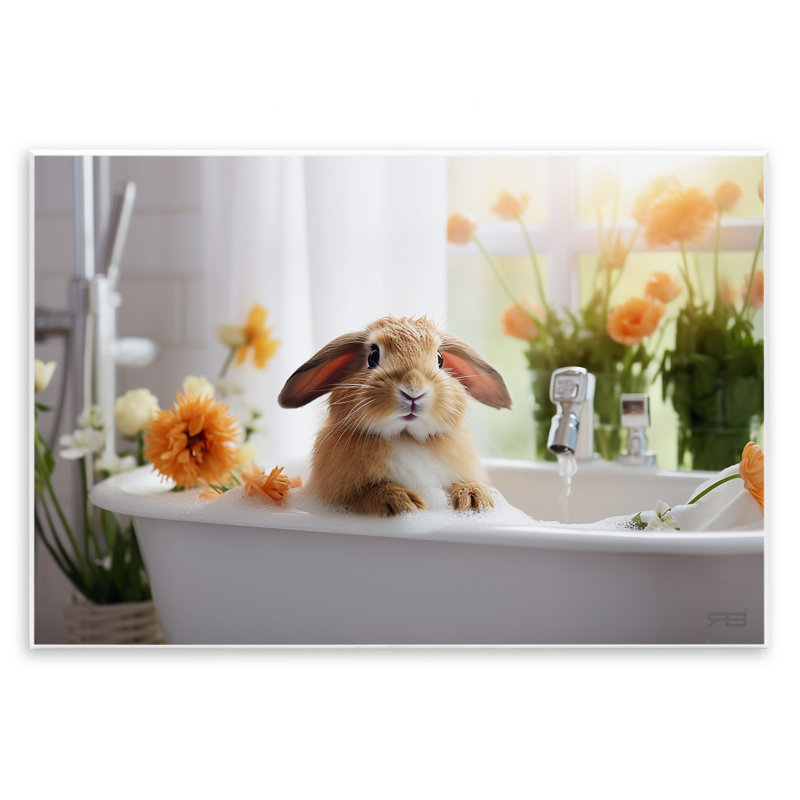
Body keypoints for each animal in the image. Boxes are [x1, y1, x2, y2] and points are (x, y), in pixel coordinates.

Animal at [278, 316, 512, 516]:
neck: (405, 436)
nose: (413, 389)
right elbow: (365, 493)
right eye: (373, 356)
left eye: (440, 359)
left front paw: (473, 499)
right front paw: (401, 501)